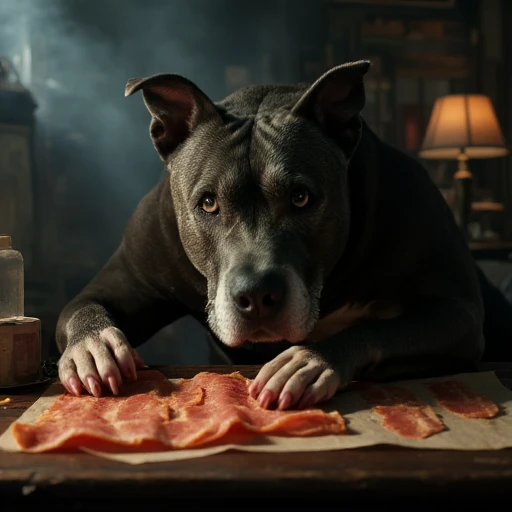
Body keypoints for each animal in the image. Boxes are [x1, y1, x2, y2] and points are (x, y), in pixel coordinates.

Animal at [56, 61, 512, 412]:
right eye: (208, 203)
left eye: (300, 197)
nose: (257, 296)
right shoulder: (126, 280)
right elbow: (80, 307)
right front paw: (93, 348)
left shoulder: (457, 315)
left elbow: (376, 330)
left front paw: (312, 360)